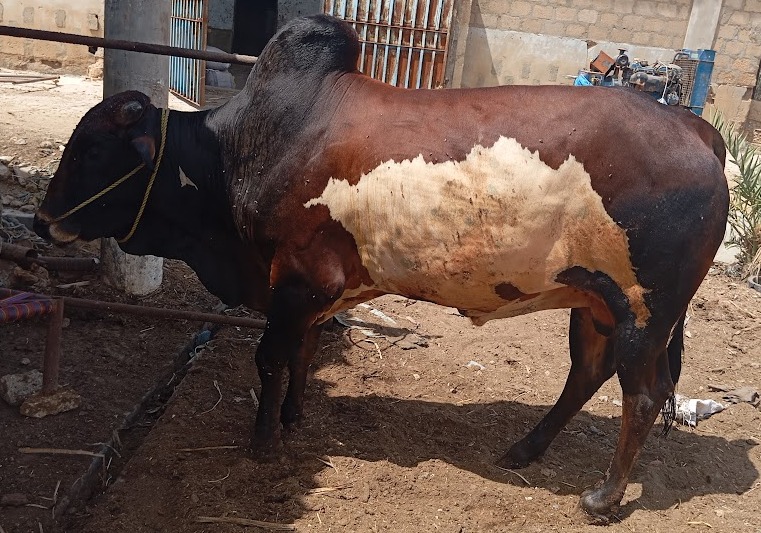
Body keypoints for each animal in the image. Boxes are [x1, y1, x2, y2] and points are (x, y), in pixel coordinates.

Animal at [34, 15, 729, 519]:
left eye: (90, 149)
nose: (42, 222)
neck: (238, 152)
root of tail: (697, 130)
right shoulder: (316, 294)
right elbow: (303, 353)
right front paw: (294, 418)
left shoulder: (296, 282)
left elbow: (270, 356)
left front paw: (262, 442)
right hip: (595, 305)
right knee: (586, 376)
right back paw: (523, 451)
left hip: (645, 311)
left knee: (642, 397)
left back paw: (603, 498)